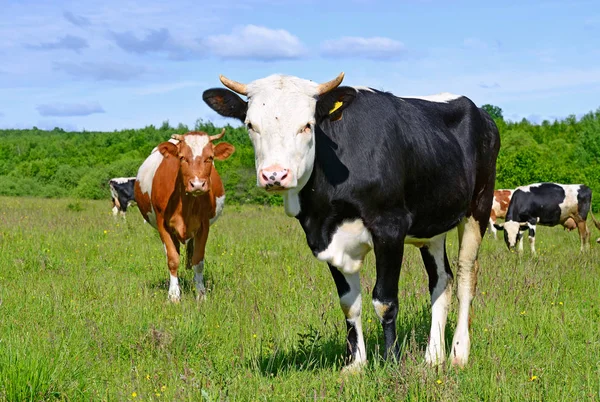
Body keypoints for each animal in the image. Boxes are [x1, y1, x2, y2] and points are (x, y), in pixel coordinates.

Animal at [134, 130, 234, 302]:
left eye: (210, 157)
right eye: (182, 157)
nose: (198, 184)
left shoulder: (204, 226)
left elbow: (198, 261)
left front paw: (201, 294)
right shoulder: (162, 225)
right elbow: (173, 260)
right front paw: (174, 295)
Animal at [204, 73, 500, 370]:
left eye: (307, 125)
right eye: (251, 125)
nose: (274, 175)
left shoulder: (390, 228)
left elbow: (384, 300)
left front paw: (391, 361)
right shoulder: (325, 238)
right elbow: (349, 302)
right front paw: (356, 364)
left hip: (478, 207)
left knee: (465, 276)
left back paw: (458, 353)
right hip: (432, 225)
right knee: (441, 280)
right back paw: (433, 356)